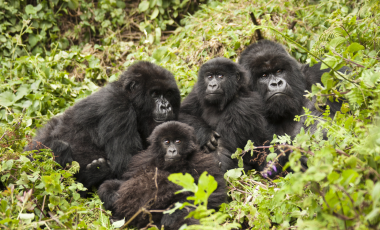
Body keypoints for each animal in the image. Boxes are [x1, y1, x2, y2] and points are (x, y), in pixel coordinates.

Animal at [24, 60, 181, 192]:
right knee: (59, 147)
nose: (166, 106)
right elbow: (126, 163)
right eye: (155, 94)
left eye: (168, 93)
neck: (129, 98)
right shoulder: (117, 107)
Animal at [98, 121, 227, 229]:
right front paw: (109, 193)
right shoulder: (142, 160)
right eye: (166, 142)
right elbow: (125, 181)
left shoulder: (201, 162)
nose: (172, 151)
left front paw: (173, 213)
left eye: (178, 141)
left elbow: (213, 193)